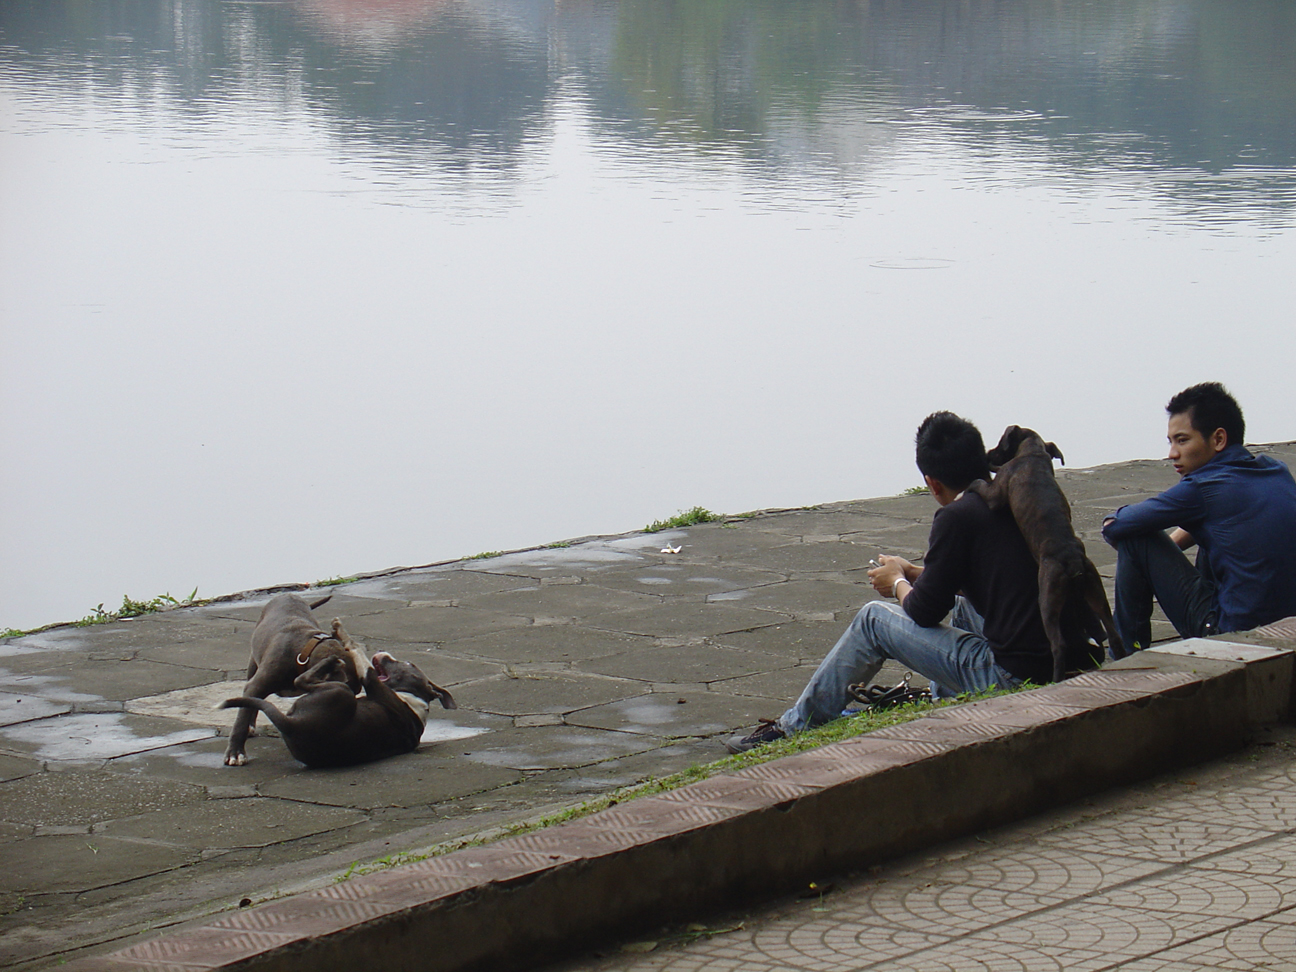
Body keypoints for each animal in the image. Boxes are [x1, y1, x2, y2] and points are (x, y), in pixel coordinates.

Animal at [964, 425, 1124, 684]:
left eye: (1001, 442)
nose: (987, 454)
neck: (1033, 452)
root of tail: (1073, 562)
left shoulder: (996, 494)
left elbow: (981, 483)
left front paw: (975, 480)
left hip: (1048, 601)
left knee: (1059, 645)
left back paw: (1057, 678)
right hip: (1096, 593)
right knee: (1113, 633)